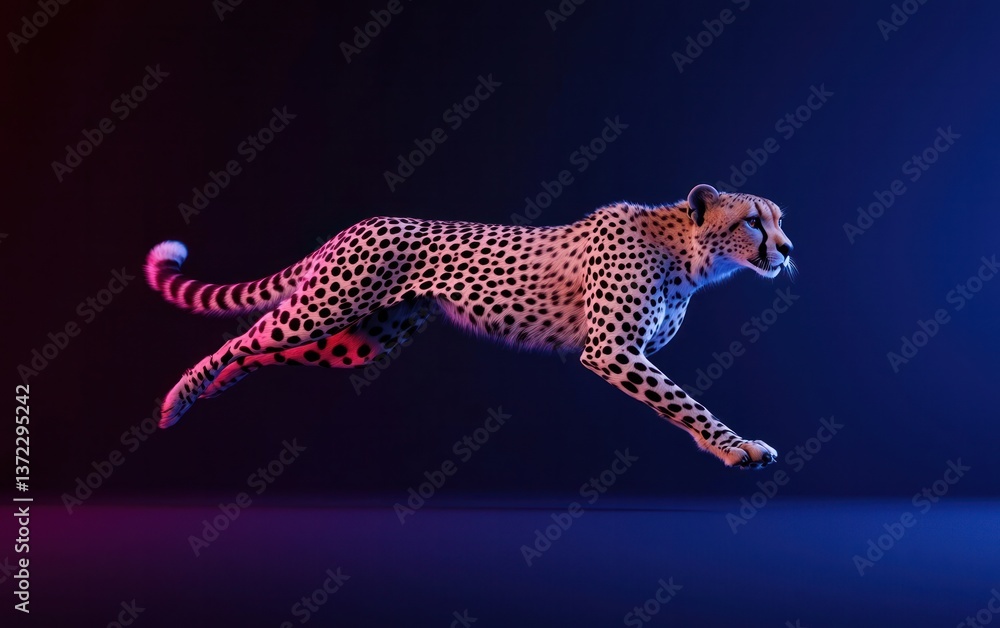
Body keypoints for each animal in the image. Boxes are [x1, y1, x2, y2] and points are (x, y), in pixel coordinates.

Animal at [145, 184, 794, 468]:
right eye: (753, 222)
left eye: (780, 220)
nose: (788, 249)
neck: (691, 254)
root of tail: (359, 223)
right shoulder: (611, 350)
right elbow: (686, 402)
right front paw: (737, 446)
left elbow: (679, 405)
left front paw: (724, 449)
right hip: (325, 309)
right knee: (242, 338)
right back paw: (177, 400)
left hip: (355, 340)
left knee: (256, 351)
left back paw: (212, 391)